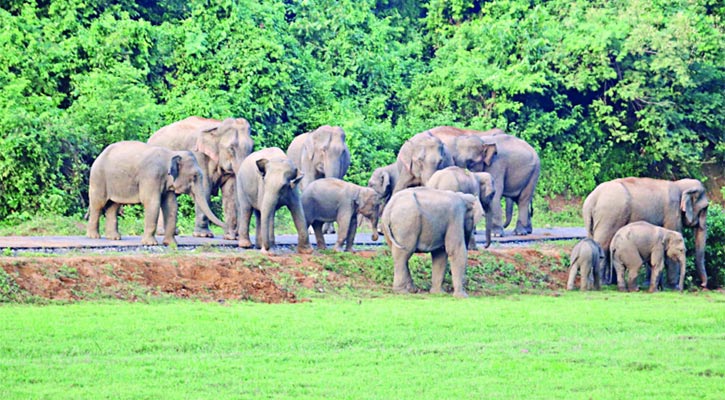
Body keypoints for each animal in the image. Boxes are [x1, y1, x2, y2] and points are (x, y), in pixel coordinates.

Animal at [86, 141, 225, 247]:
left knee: (113, 206)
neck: (171, 154)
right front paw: (150, 244)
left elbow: (171, 206)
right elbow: (152, 203)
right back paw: (94, 236)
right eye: (195, 176)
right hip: (98, 178)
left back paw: (114, 238)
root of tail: (99, 155)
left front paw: (171, 244)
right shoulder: (151, 176)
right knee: (98, 205)